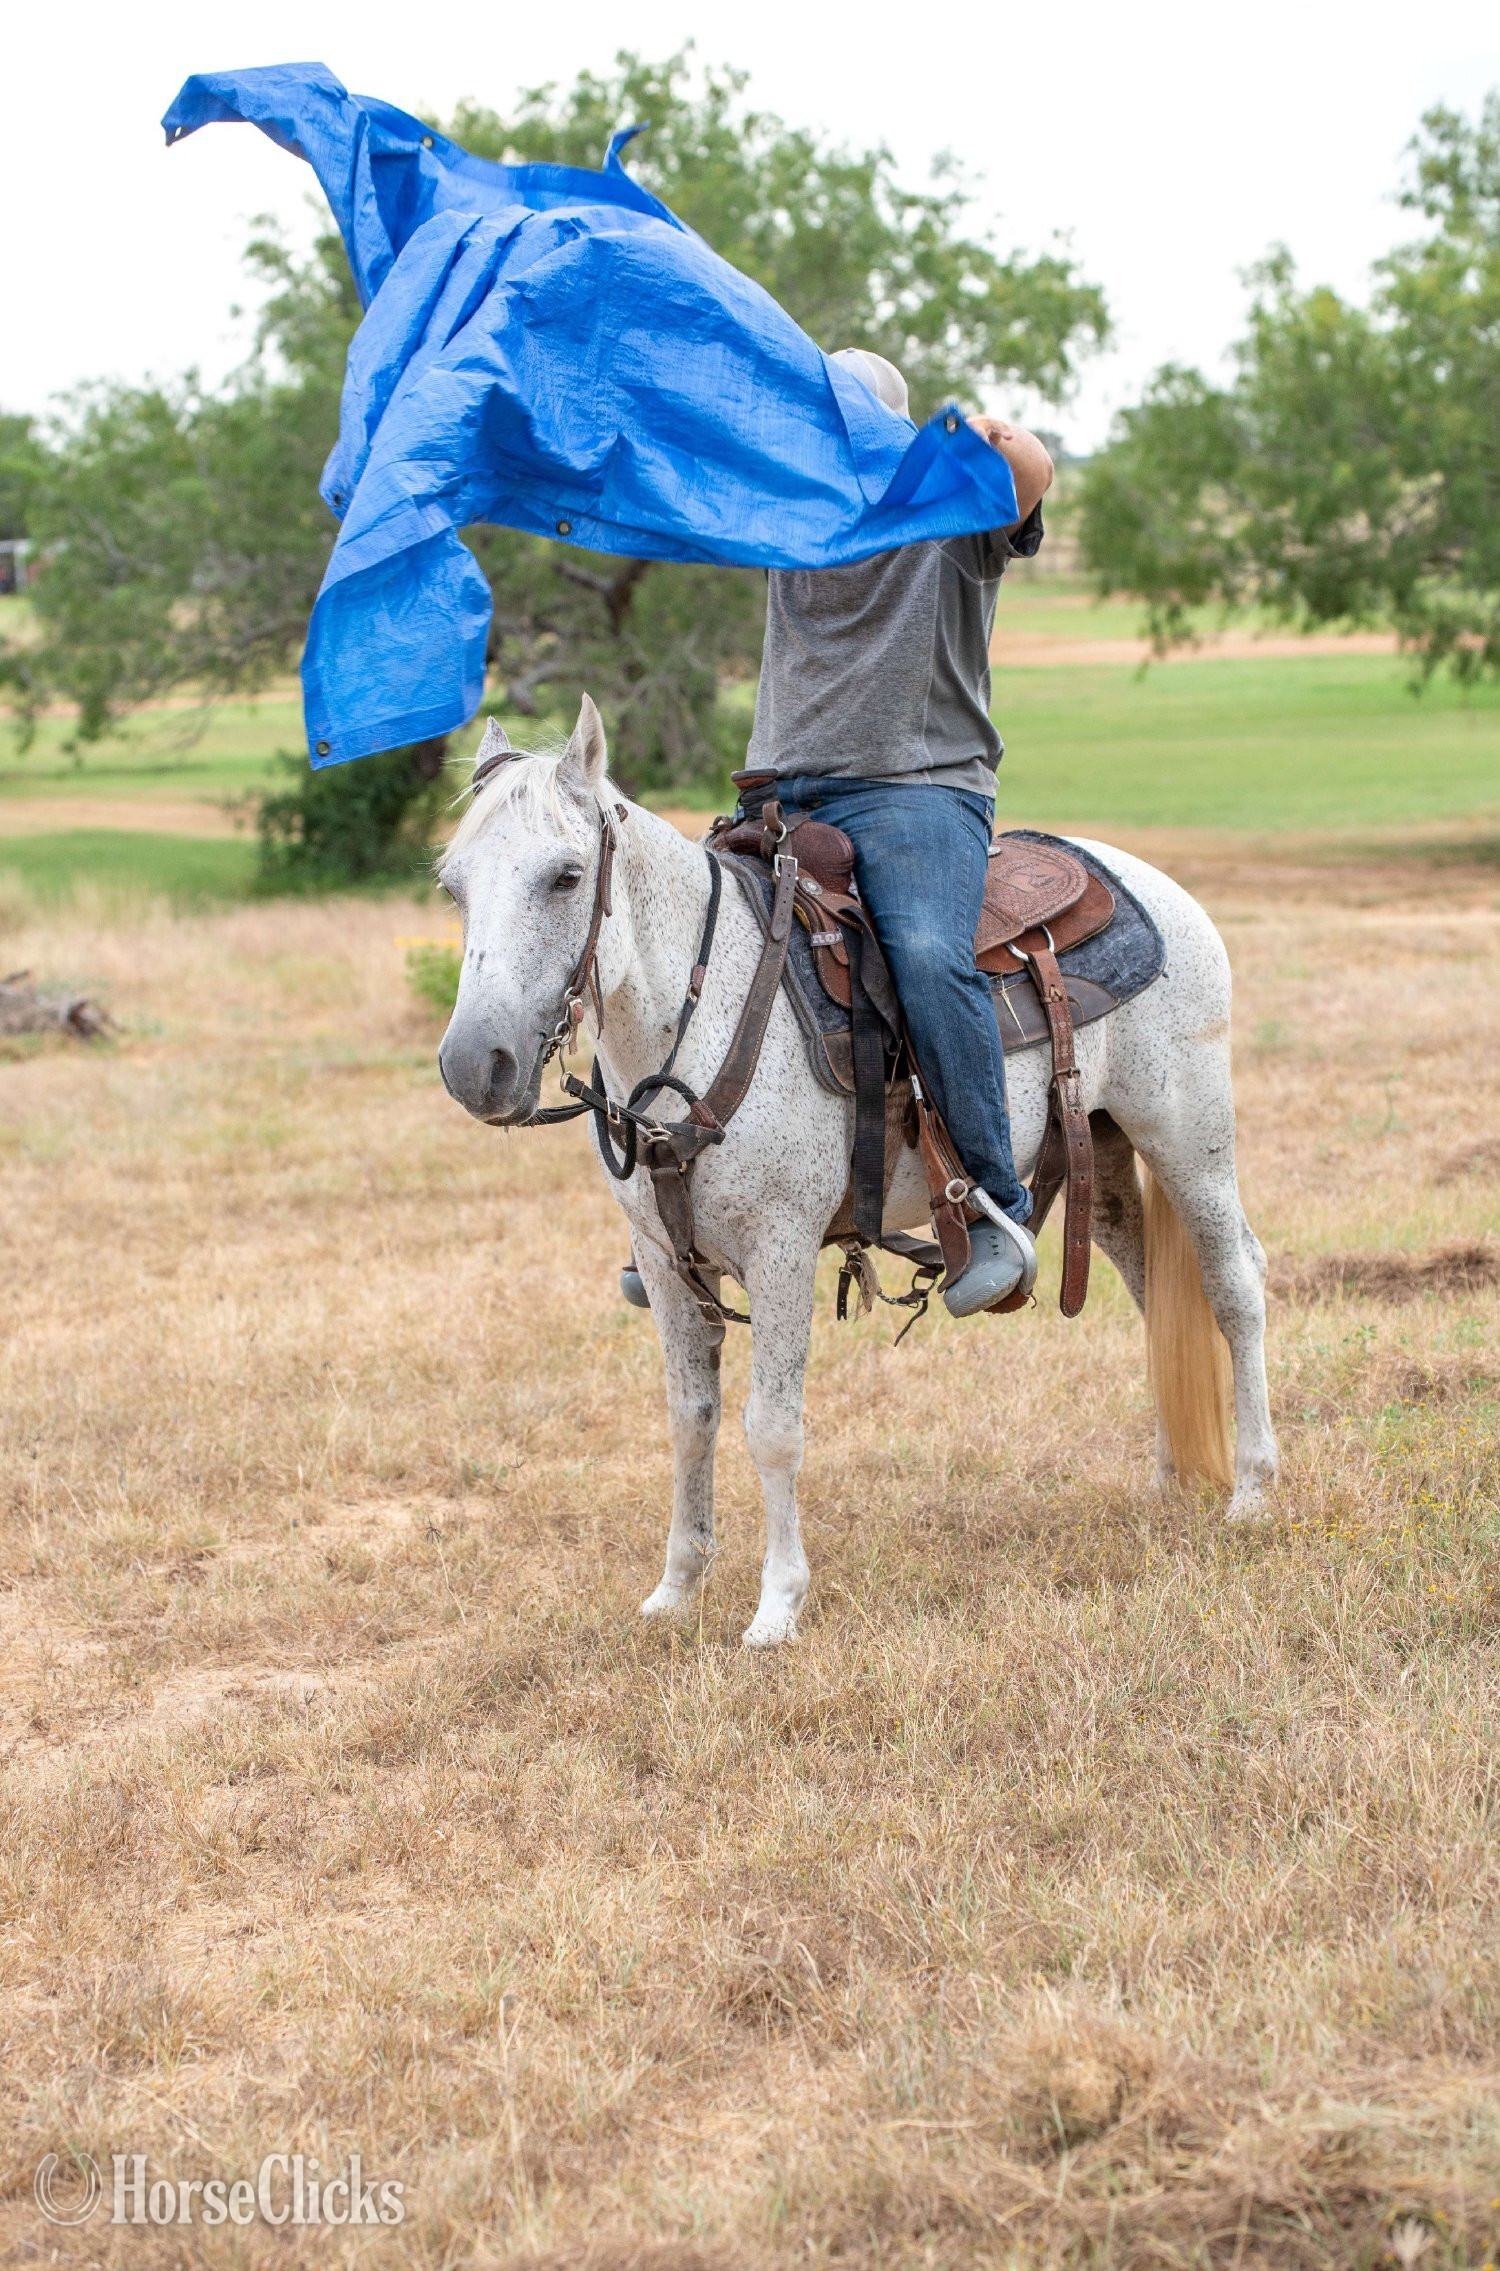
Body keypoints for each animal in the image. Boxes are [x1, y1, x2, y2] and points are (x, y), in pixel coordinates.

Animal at [437, 696, 1278, 1647]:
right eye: (454, 885)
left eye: (567, 876)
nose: (474, 1064)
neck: (700, 1013)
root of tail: (1149, 884)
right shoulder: (661, 1254)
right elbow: (691, 1419)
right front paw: (677, 1587)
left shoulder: (780, 1248)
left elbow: (772, 1427)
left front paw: (776, 1606)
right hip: (1100, 1148)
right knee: (1154, 1294)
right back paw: (1173, 1480)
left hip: (1188, 1133)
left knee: (1233, 1282)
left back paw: (1252, 1488)